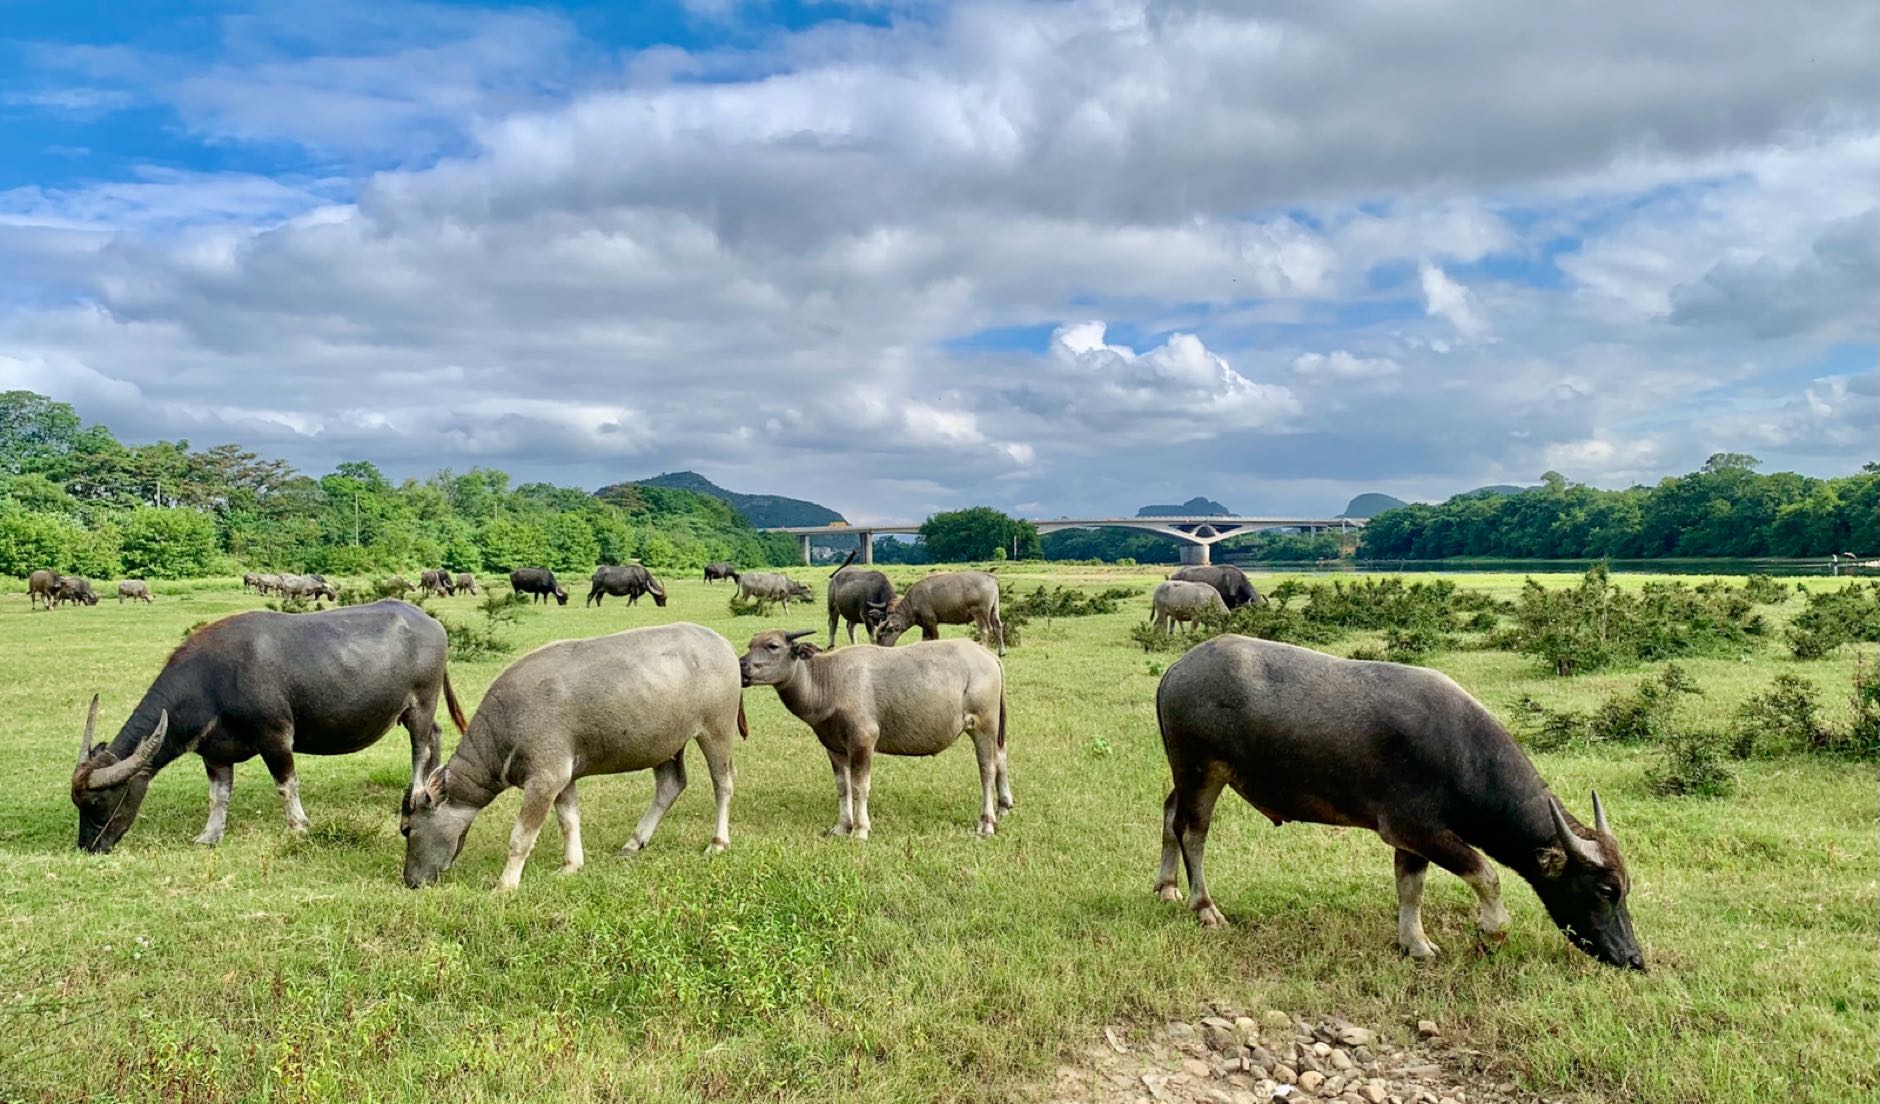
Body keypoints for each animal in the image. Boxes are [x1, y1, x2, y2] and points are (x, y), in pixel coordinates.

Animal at [73, 601, 470, 850]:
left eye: (96, 801)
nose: (89, 845)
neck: (212, 681)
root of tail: (431, 623)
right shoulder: (215, 754)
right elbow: (218, 796)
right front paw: (209, 836)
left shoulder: (276, 737)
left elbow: (285, 785)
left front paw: (299, 827)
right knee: (435, 736)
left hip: (421, 701)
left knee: (420, 746)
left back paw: (416, 792)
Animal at [400, 620, 744, 891]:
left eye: (407, 829)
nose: (410, 881)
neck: (505, 724)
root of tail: (722, 644)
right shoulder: (564, 779)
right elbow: (569, 821)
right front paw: (571, 865)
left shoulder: (545, 778)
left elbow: (521, 836)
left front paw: (505, 885)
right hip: (666, 744)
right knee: (671, 784)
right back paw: (634, 842)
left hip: (716, 729)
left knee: (723, 782)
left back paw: (717, 842)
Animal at [736, 631, 1015, 838]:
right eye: (751, 644)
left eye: (772, 646)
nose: (742, 665)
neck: (828, 682)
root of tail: (987, 656)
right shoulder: (834, 747)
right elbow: (843, 787)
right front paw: (842, 826)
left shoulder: (863, 740)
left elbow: (860, 785)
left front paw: (860, 829)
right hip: (995, 729)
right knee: (1001, 757)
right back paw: (1004, 806)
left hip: (983, 725)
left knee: (987, 768)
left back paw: (986, 822)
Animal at [872, 571, 1007, 658]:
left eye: (881, 636)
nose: (879, 649)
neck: (913, 602)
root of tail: (990, 576)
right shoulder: (924, 625)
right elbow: (925, 640)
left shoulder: (931, 622)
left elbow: (935, 637)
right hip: (994, 609)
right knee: (997, 626)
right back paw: (1002, 652)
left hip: (980, 612)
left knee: (985, 630)